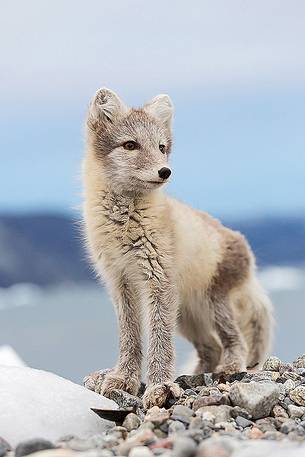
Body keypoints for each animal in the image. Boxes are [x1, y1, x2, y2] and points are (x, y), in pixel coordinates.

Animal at [82, 87, 272, 408]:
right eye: (130, 145)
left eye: (161, 147)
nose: (165, 171)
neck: (125, 222)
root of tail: (247, 252)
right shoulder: (120, 283)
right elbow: (130, 338)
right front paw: (124, 378)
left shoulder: (158, 281)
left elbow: (160, 341)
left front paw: (159, 385)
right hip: (186, 316)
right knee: (210, 348)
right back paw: (193, 376)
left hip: (213, 304)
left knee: (234, 341)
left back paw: (230, 368)